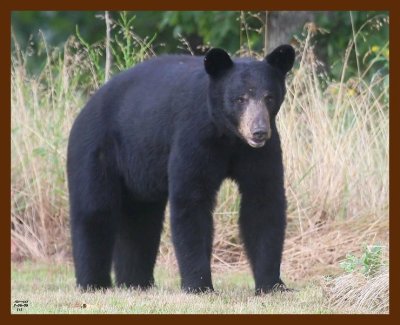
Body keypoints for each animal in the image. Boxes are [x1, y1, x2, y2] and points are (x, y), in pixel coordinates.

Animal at [67, 44, 296, 294]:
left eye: (269, 97)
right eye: (240, 99)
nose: (258, 131)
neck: (228, 135)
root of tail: (85, 108)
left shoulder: (260, 152)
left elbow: (263, 201)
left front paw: (272, 284)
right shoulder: (193, 135)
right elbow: (191, 200)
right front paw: (199, 285)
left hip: (139, 172)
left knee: (140, 221)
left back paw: (136, 282)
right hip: (98, 149)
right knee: (95, 210)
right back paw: (94, 283)